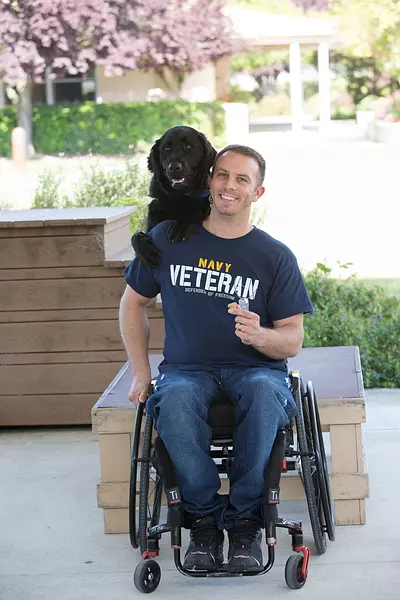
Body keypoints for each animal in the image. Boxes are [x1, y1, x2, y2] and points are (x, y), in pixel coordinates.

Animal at [131, 125, 216, 268]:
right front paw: (145, 251)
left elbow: (193, 209)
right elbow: (135, 236)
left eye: (188, 146)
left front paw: (179, 226)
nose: (174, 167)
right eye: (166, 148)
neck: (178, 198)